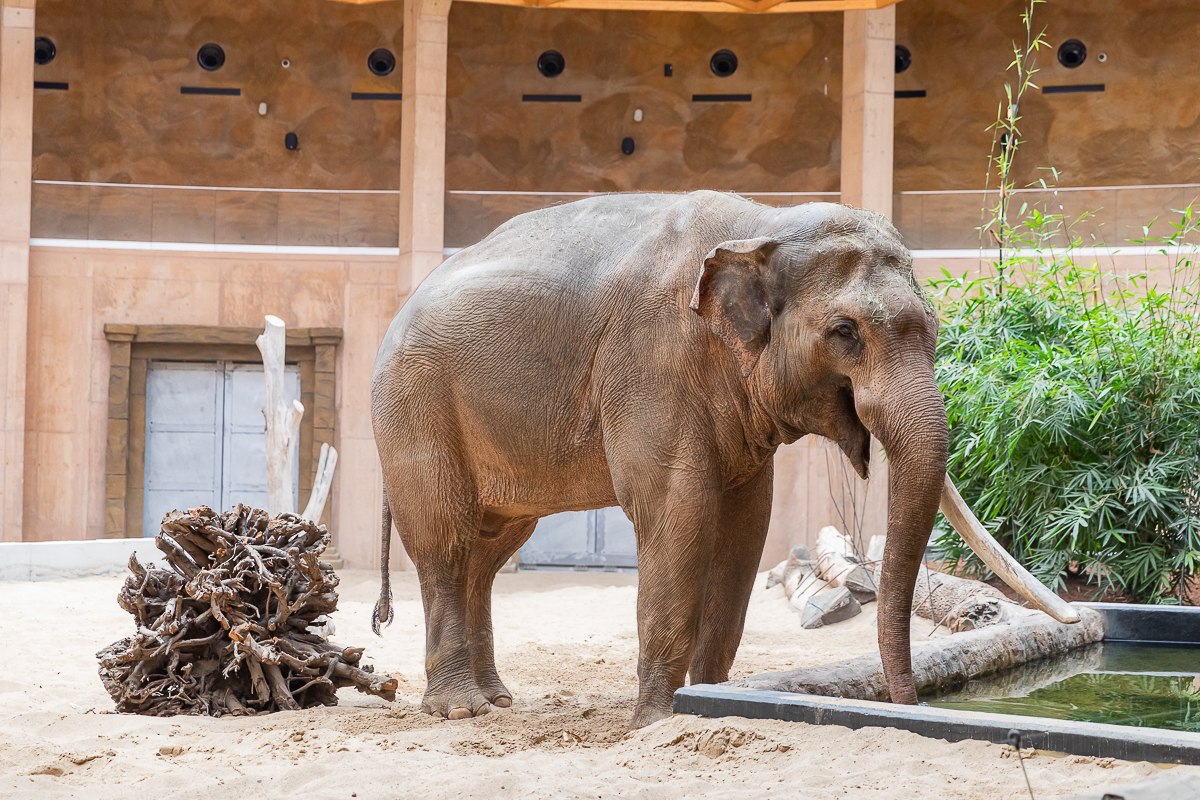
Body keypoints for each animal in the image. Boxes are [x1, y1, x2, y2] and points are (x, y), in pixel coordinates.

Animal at [367, 190, 1080, 729]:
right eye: (845, 333)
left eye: (932, 330)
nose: (912, 710)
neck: (761, 226)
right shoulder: (651, 364)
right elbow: (678, 515)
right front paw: (654, 724)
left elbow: (745, 529)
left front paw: (703, 704)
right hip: (414, 406)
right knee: (445, 542)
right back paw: (459, 711)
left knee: (490, 552)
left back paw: (497, 700)